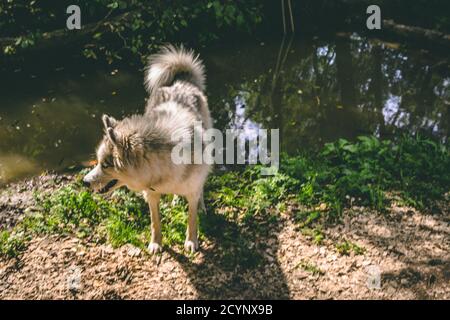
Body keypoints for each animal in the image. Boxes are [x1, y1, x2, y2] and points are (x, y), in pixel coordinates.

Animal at [83, 45, 212, 254]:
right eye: (99, 162)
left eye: (106, 165)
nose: (84, 182)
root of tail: (181, 81)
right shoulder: (151, 195)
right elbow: (155, 222)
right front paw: (156, 243)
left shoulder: (191, 190)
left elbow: (192, 218)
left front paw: (191, 241)